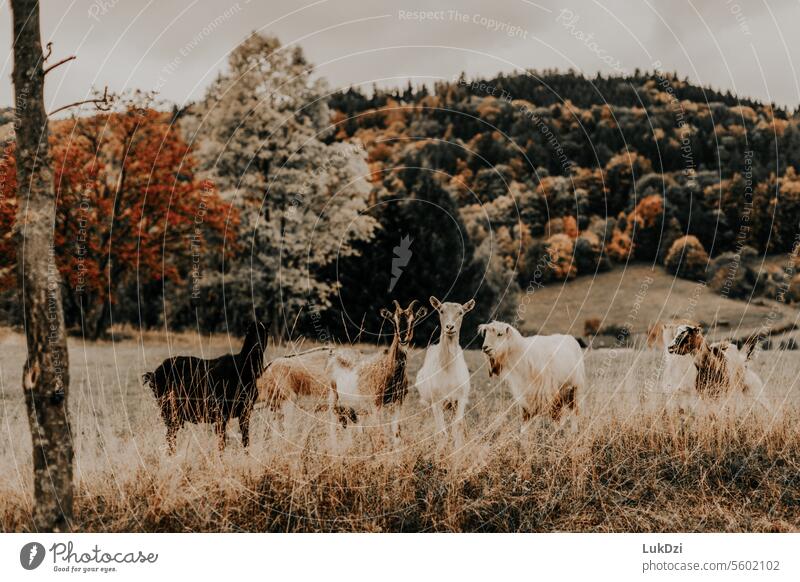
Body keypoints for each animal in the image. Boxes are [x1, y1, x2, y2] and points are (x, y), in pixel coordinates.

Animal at [142, 322, 268, 454]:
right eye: (248, 332)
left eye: (265, 332)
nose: (256, 348)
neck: (244, 367)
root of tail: (153, 374)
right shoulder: (221, 413)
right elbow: (222, 442)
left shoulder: (245, 411)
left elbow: (245, 440)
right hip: (169, 411)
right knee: (170, 437)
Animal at [330, 304, 428, 444]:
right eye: (394, 320)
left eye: (413, 320)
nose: (403, 337)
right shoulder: (376, 403)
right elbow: (380, 432)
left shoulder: (398, 401)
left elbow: (397, 431)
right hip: (335, 399)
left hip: (356, 407)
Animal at [412, 298, 476, 440]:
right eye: (441, 310)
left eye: (461, 312)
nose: (449, 327)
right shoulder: (437, 400)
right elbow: (442, 432)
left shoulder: (460, 399)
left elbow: (457, 427)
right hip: (427, 401)